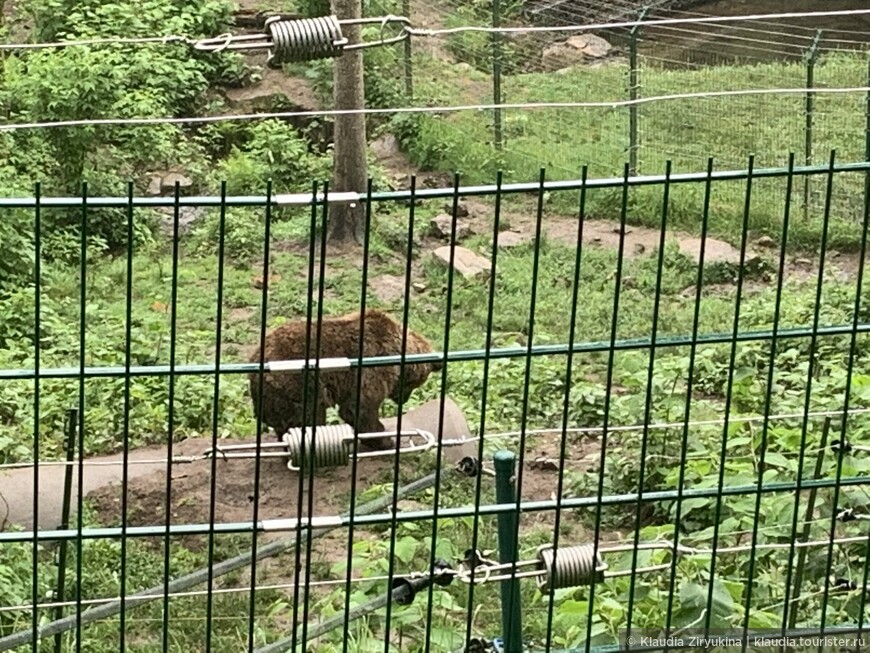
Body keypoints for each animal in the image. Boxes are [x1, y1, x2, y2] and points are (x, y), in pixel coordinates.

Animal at [250, 308, 442, 450]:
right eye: (416, 384)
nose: (403, 400)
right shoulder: (371, 367)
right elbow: (360, 409)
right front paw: (385, 440)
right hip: (299, 383)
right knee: (309, 417)